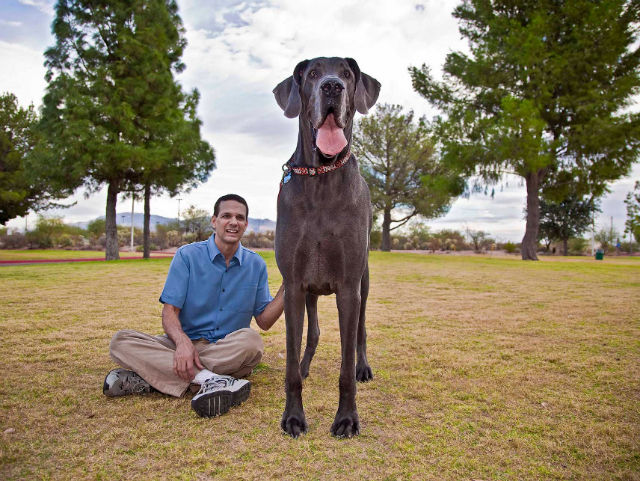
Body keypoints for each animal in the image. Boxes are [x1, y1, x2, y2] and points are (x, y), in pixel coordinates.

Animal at [272, 58, 380, 436]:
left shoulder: (348, 286)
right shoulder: (293, 285)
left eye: (347, 74)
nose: (333, 86)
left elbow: (345, 366)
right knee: (314, 333)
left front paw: (347, 418)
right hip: (310, 291)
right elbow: (291, 361)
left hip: (364, 281)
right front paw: (293, 416)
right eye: (312, 74)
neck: (320, 177)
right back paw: (306, 365)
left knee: (361, 332)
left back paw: (364, 366)